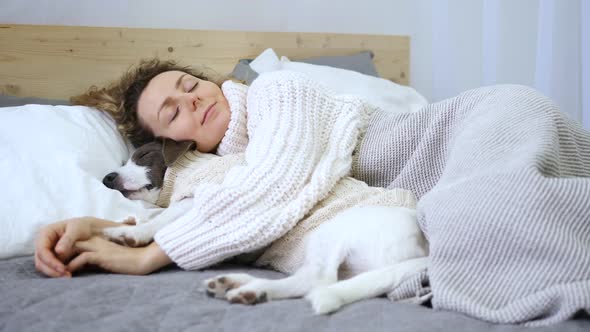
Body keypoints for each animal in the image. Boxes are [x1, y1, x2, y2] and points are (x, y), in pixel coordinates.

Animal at [102, 141, 430, 314]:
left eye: (143, 156)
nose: (107, 178)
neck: (186, 169)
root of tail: (426, 250)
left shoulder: (205, 198)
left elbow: (166, 218)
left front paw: (132, 232)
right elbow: (159, 215)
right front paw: (135, 220)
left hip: (333, 230)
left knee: (318, 281)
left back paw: (253, 289)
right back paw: (237, 284)